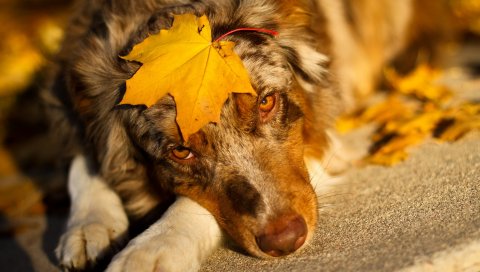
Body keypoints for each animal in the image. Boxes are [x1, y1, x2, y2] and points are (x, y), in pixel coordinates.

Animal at [43, 1, 430, 270]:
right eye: (181, 152)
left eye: (266, 102)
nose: (286, 240)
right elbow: (83, 162)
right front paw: (89, 224)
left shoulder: (322, 137)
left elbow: (188, 205)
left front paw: (151, 250)